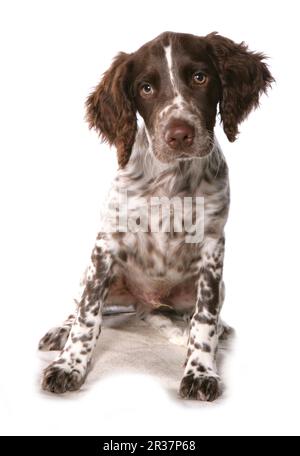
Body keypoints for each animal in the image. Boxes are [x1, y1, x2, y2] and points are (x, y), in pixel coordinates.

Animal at [38, 32, 274, 400]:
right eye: (146, 88)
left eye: (200, 77)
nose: (179, 134)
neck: (170, 181)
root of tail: (145, 304)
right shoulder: (106, 243)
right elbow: (87, 315)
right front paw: (69, 365)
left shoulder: (212, 247)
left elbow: (204, 319)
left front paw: (201, 370)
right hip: (94, 274)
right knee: (80, 305)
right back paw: (61, 330)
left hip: (216, 286)